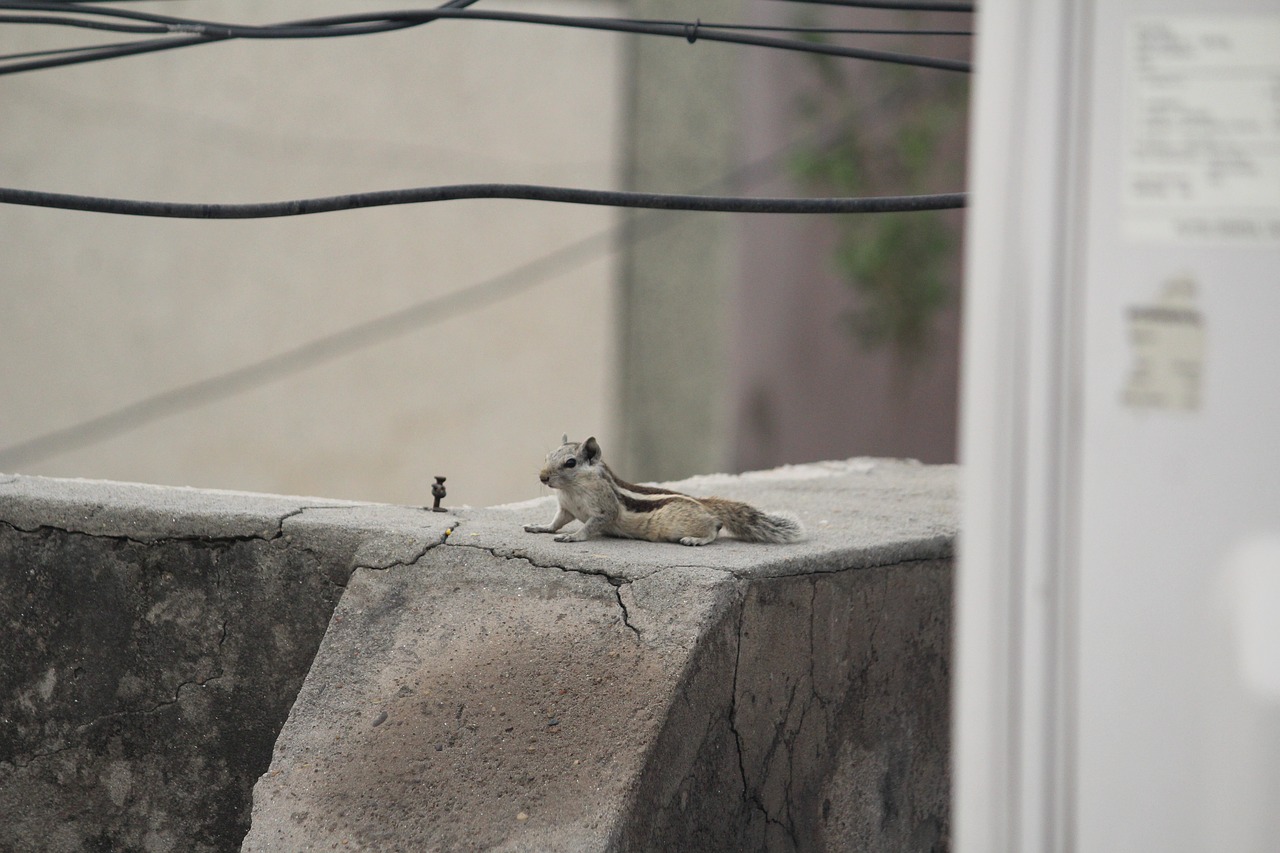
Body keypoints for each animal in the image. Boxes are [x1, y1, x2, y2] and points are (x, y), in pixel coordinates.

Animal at [519, 432, 798, 545]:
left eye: (570, 463)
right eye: (547, 456)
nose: (543, 477)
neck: (573, 489)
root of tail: (704, 503)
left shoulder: (605, 509)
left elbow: (591, 525)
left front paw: (574, 536)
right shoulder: (565, 508)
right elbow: (556, 521)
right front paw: (540, 527)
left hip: (679, 524)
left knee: (715, 527)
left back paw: (697, 539)